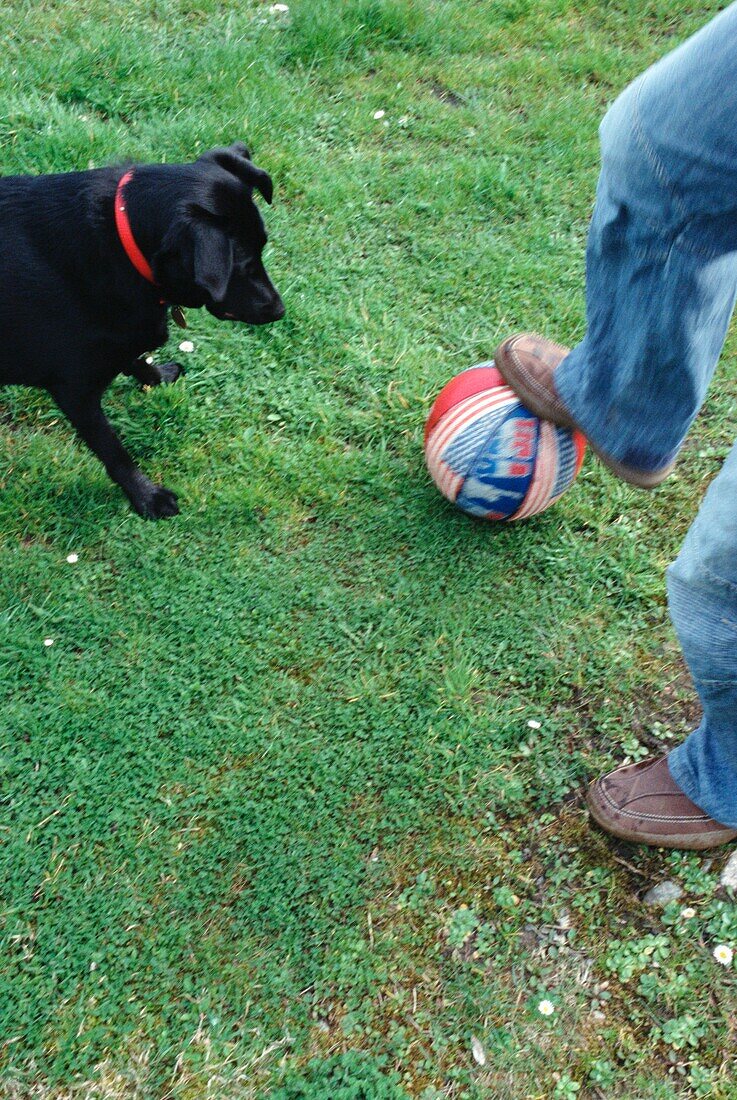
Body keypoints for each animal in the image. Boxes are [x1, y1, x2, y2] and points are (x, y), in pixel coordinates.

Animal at [0, 143, 283, 519]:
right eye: (244, 263)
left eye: (262, 247)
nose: (279, 309)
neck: (122, 241)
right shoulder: (74, 390)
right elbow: (114, 451)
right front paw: (147, 496)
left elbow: (135, 358)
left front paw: (158, 375)